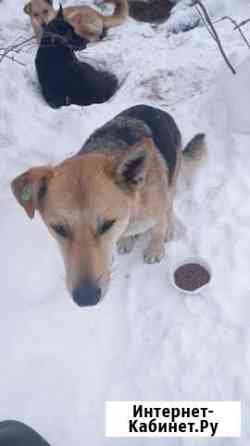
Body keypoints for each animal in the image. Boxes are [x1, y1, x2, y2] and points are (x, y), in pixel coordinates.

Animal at [11, 104, 206, 306]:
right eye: (59, 228)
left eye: (107, 224)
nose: (86, 298)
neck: (132, 210)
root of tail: (153, 107)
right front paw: (126, 240)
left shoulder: (157, 213)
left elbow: (158, 231)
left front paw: (155, 249)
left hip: (172, 178)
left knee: (170, 204)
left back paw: (171, 226)